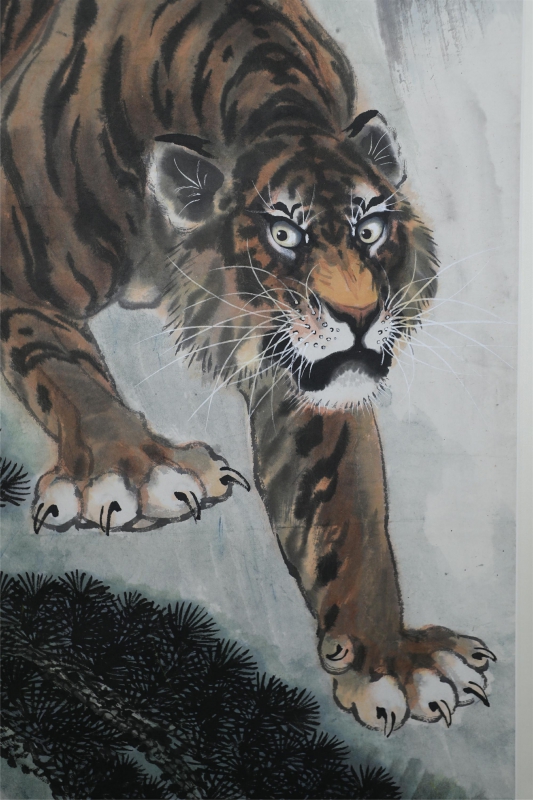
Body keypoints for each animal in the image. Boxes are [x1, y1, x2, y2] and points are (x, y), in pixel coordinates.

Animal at [1, 0, 496, 734]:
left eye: (369, 229)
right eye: (283, 234)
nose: (359, 316)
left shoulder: (300, 377)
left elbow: (344, 508)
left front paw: (389, 662)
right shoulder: (15, 276)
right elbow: (64, 369)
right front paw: (133, 473)